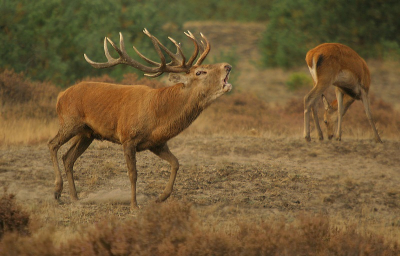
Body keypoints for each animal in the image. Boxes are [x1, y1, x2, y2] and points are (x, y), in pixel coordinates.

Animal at [48, 29, 233, 209]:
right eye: (200, 72)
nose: (228, 66)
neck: (158, 118)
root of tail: (60, 95)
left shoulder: (157, 143)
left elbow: (176, 163)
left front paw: (161, 198)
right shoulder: (127, 138)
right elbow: (133, 174)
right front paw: (134, 206)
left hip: (87, 133)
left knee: (68, 158)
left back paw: (74, 198)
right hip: (70, 122)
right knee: (52, 144)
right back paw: (57, 191)